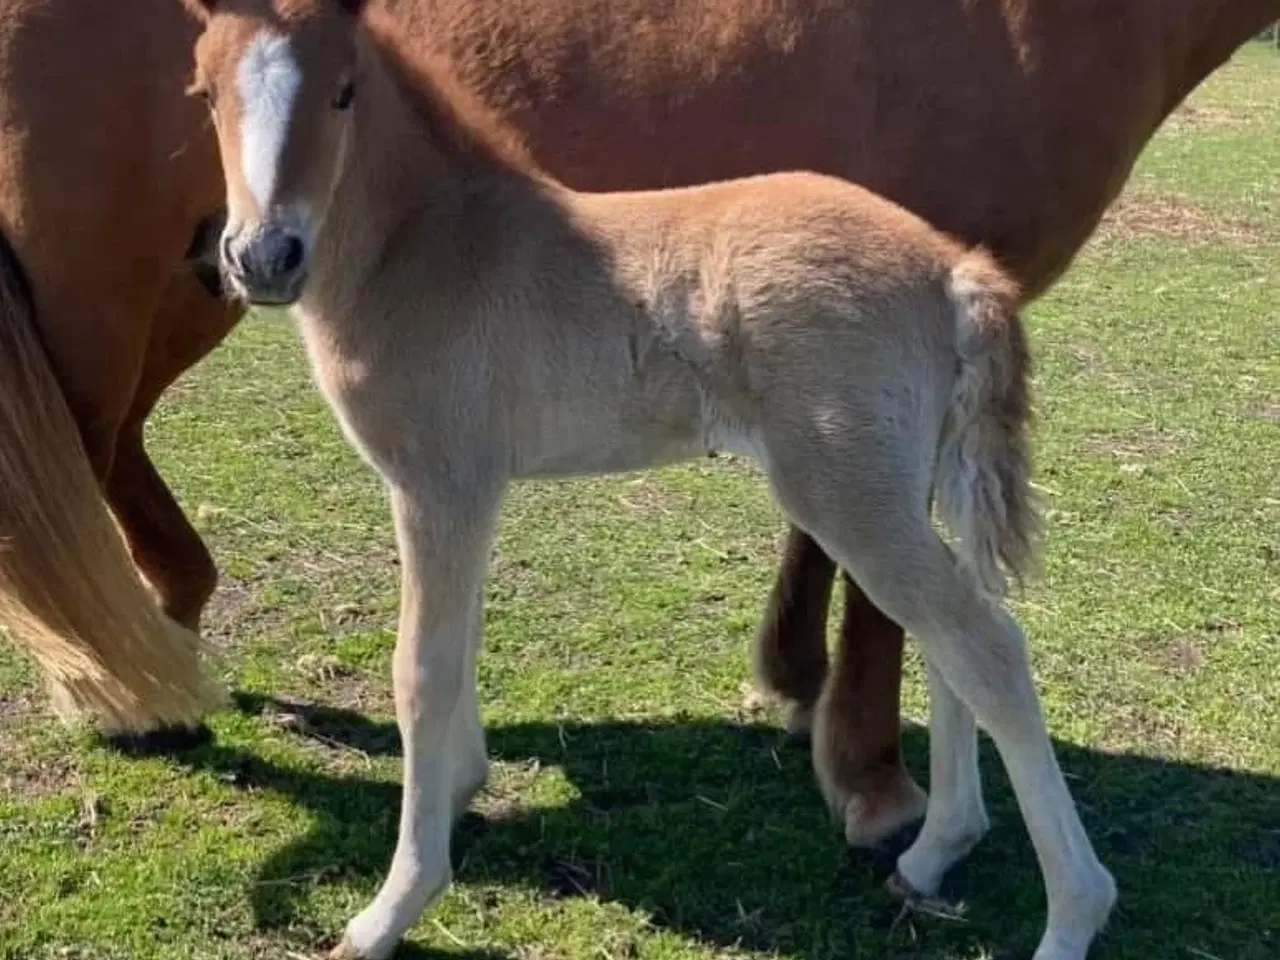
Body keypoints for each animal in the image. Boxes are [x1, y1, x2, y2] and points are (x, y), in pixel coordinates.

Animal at [2, 0, 1280, 839]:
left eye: (345, 90)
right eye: (205, 94)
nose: (269, 253)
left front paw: (830, 734)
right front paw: (862, 772)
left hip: (173, 283)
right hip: (113, 273)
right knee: (81, 448)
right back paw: (127, 681)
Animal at [185, 1, 1116, 960]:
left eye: (342, 92)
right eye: (206, 92)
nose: (263, 258)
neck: (433, 245)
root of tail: (953, 269)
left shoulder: (439, 486)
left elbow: (423, 671)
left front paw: (392, 907)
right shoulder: (471, 495)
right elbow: (464, 639)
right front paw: (463, 787)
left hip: (849, 495)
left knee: (987, 647)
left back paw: (1071, 916)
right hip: (899, 487)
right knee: (946, 643)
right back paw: (933, 853)